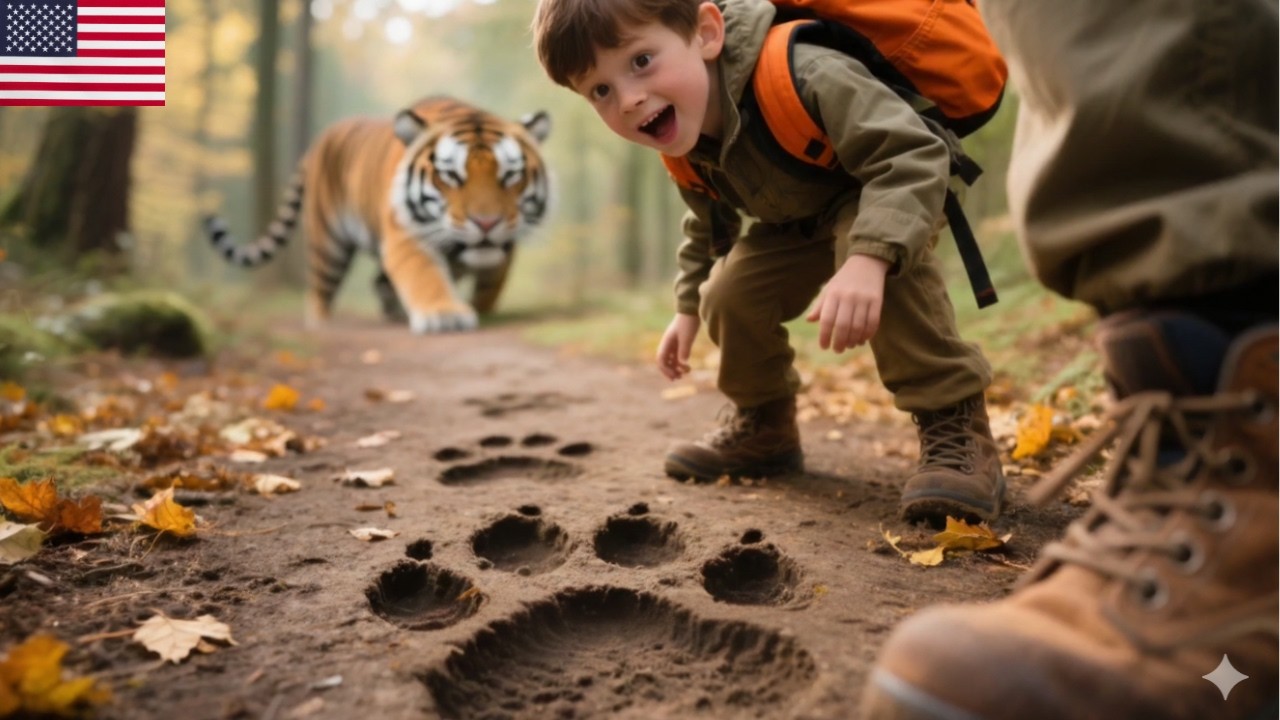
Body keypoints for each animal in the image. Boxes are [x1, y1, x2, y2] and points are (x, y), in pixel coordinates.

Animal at [206, 95, 551, 333]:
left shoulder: (505, 247)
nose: (486, 223)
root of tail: (317, 143)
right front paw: (445, 315)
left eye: (510, 175)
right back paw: (322, 324)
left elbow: (491, 284)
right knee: (320, 290)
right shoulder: (406, 235)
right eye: (450, 176)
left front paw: (481, 307)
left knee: (379, 282)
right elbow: (424, 275)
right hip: (328, 245)